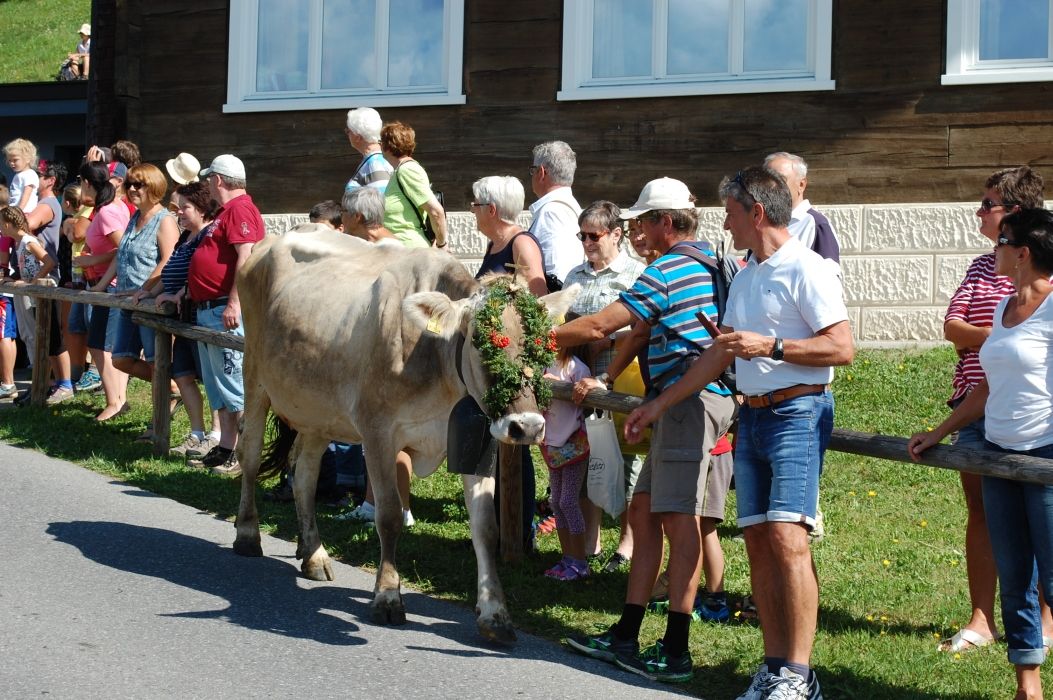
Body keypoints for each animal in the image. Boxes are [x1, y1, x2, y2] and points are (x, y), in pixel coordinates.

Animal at [231, 225, 578, 643]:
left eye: (544, 346)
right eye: (483, 343)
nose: (527, 426)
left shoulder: (479, 440)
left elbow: (486, 528)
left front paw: (495, 613)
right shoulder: (378, 432)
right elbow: (389, 516)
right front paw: (387, 597)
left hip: (320, 408)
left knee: (304, 477)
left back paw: (314, 554)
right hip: (255, 374)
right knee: (250, 455)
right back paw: (248, 534)